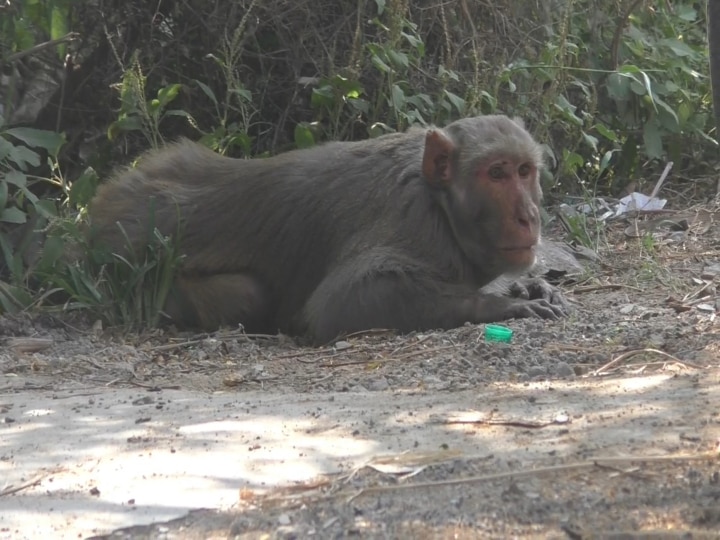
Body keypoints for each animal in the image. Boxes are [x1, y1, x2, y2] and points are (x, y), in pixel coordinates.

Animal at [90, 115, 572, 344]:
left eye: (525, 171)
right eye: (497, 174)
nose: (529, 214)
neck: (441, 205)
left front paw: (522, 287)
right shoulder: (412, 221)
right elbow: (341, 301)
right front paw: (501, 304)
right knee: (249, 293)